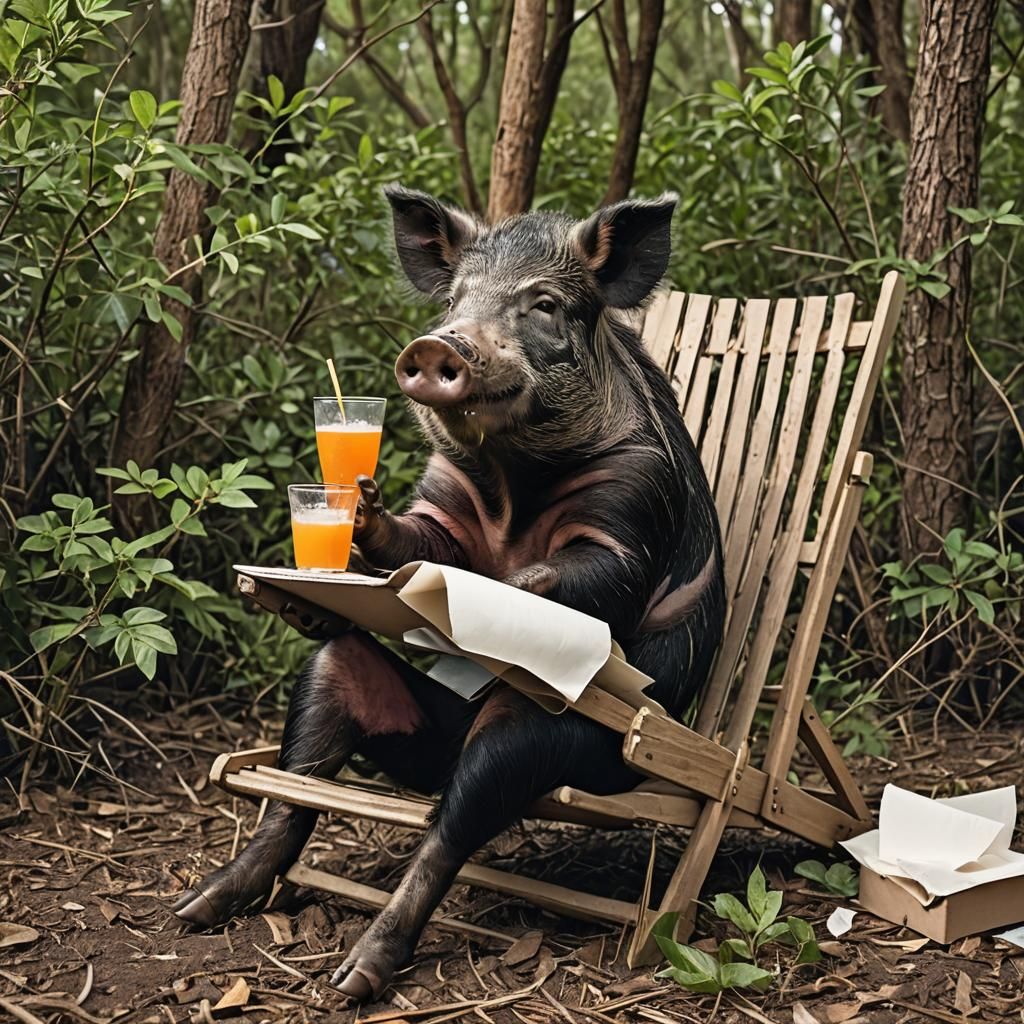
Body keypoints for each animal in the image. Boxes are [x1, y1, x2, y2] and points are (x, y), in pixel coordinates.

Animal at [173, 185, 726, 1002]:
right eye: (454, 301)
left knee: (461, 809)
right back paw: (197, 908)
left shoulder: (635, 501)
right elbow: (419, 543)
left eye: (545, 305)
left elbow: (595, 579)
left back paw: (352, 979)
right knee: (308, 754)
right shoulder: (444, 502)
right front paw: (362, 521)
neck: (512, 488)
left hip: (571, 746)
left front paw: (474, 596)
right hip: (386, 719)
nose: (440, 346)